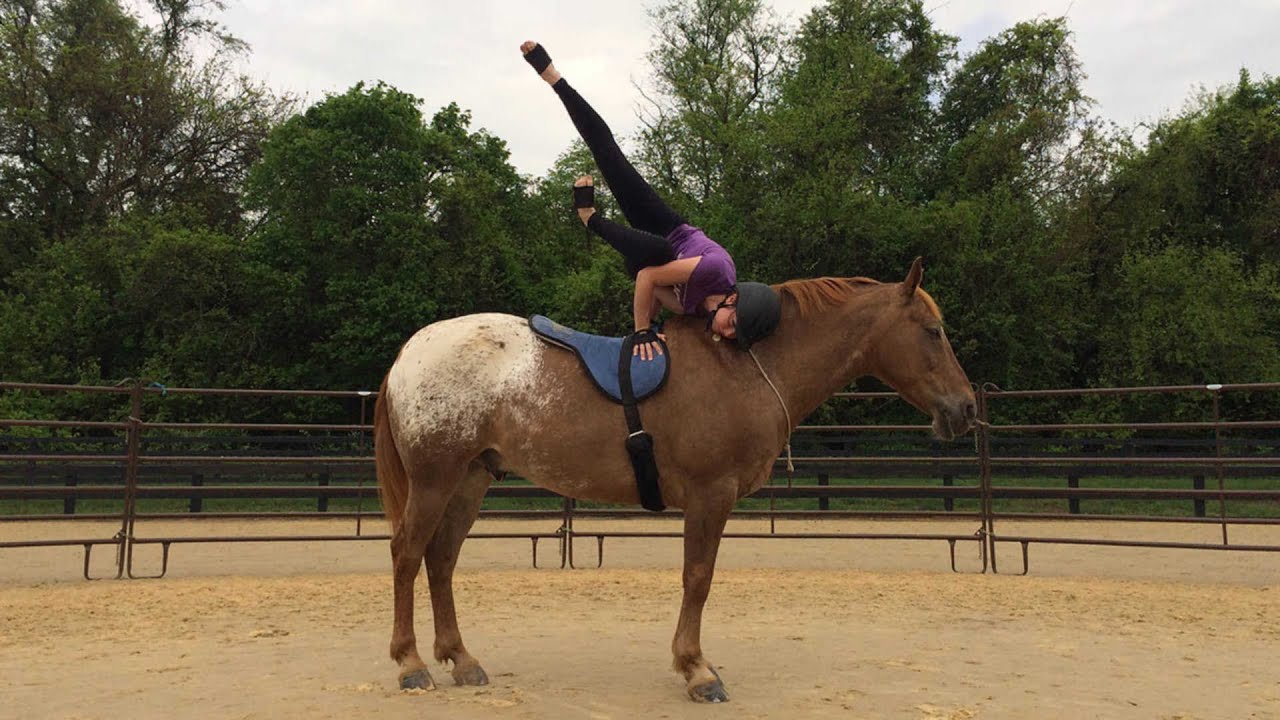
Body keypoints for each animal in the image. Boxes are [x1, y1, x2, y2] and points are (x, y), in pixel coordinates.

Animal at [373, 257, 976, 702]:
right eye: (933, 331)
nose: (966, 408)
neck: (742, 363)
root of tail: (408, 352)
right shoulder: (711, 495)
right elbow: (698, 578)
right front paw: (697, 669)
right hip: (435, 479)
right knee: (407, 554)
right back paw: (410, 663)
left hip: (470, 480)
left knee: (441, 559)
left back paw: (461, 659)